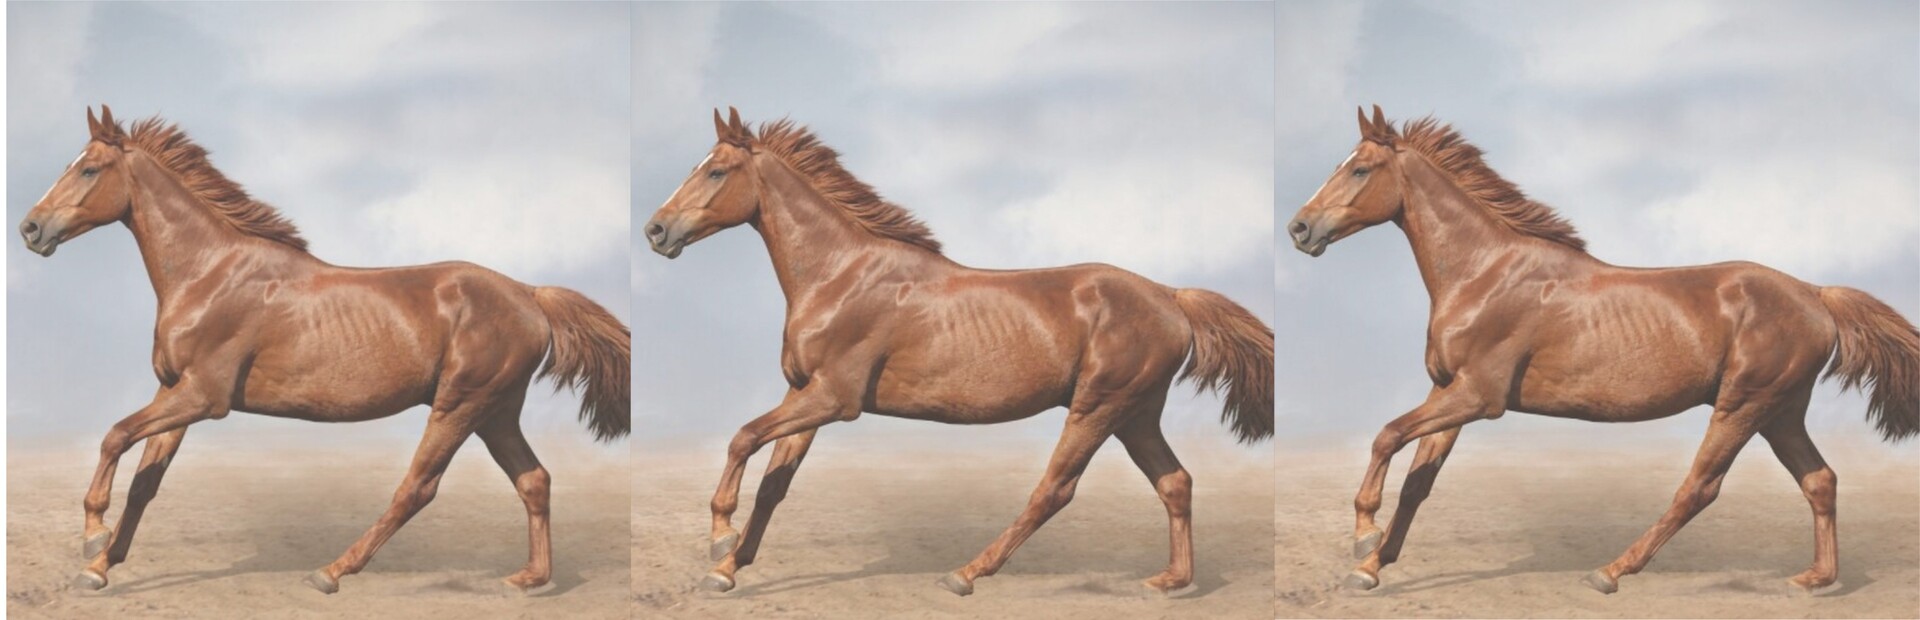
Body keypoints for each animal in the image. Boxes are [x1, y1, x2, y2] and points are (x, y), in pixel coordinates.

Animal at [18, 106, 631, 595]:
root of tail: (530, 294)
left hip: (460, 406)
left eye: (88, 168)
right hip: (496, 412)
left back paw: (332, 572)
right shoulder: (174, 391)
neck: (210, 272)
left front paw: (92, 538)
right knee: (533, 480)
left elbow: (114, 435)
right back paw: (528, 579)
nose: (30, 229)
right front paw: (100, 566)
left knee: (417, 488)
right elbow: (146, 481)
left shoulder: (203, 397)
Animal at [642, 108, 1273, 596]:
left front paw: (720, 540)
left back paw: (966, 575)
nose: (656, 231)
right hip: (1136, 414)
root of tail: (1170, 296)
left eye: (716, 170)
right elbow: (775, 483)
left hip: (1099, 408)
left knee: (1054, 490)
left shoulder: (834, 399)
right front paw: (727, 570)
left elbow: (742, 437)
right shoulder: (804, 393)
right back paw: (1170, 581)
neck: (840, 274)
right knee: (1175, 482)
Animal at [1285, 105, 1920, 594]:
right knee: (1820, 480)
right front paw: (1371, 568)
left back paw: (1611, 573)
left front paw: (1363, 538)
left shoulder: (1478, 397)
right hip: (1780, 412)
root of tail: (1815, 294)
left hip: (1744, 406)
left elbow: (1386, 435)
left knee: (1699, 488)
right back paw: (1815, 579)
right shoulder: (1448, 391)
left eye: (1360, 168)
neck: (1484, 272)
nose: (1299, 229)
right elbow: (1419, 480)